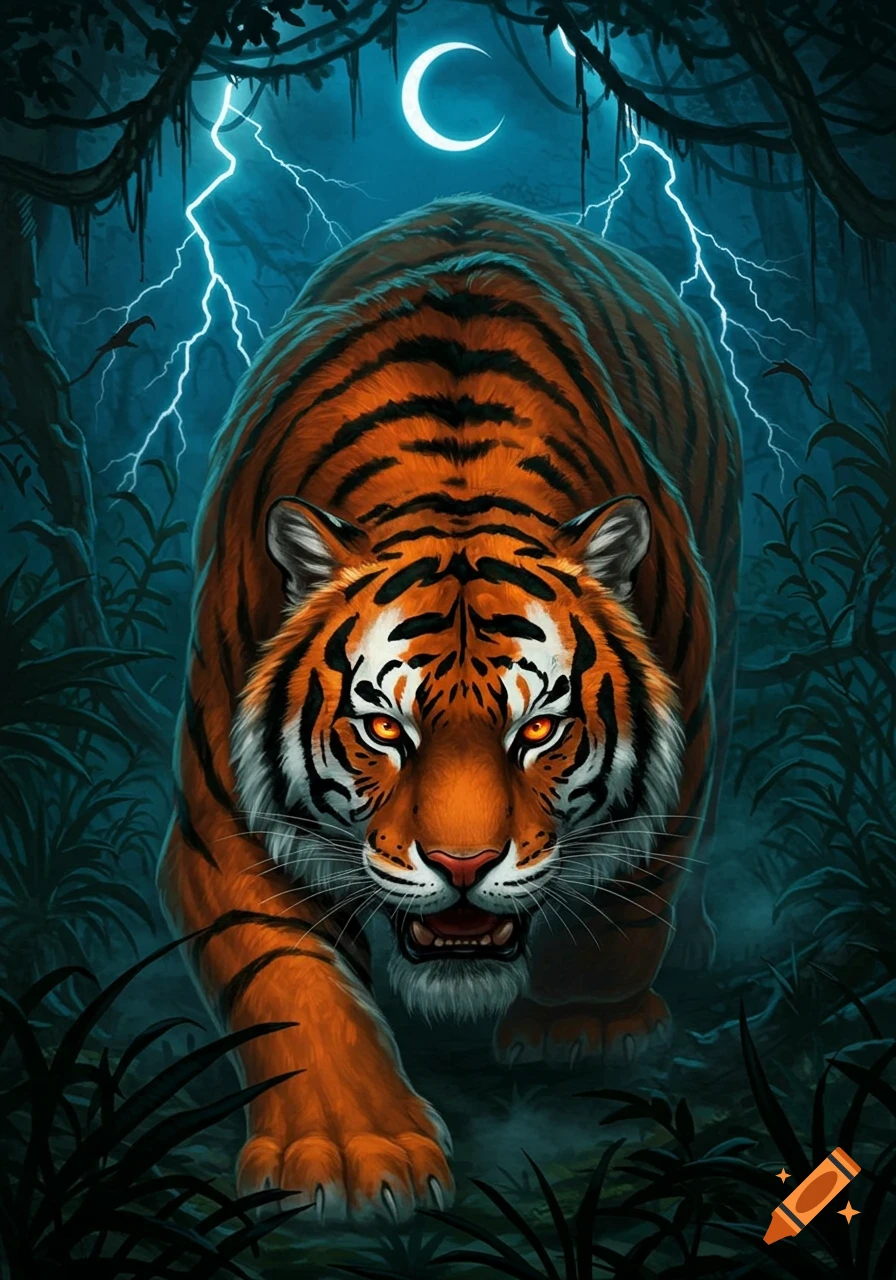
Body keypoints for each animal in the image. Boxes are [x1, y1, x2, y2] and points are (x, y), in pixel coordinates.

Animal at [157, 195, 742, 1224]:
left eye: (537, 729)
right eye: (384, 730)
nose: (463, 868)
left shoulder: (691, 731)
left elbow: (633, 887)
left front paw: (579, 1024)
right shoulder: (220, 819)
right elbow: (290, 979)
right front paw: (353, 1156)